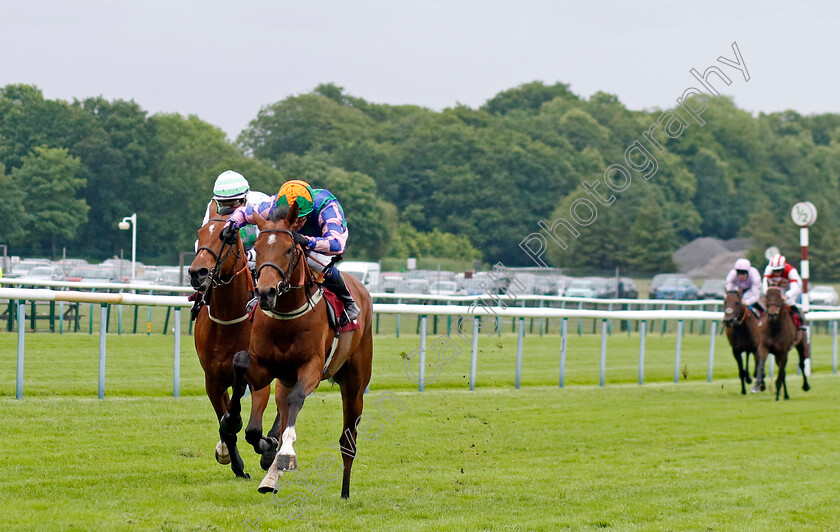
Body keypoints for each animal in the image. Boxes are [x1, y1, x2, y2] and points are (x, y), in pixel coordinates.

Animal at [189, 203, 278, 478]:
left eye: (226, 238)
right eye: (200, 233)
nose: (197, 273)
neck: (229, 320)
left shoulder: (259, 379)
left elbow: (252, 430)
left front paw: (267, 447)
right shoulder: (213, 380)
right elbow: (226, 423)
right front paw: (234, 461)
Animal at [221, 202, 372, 496]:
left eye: (289, 249)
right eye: (257, 247)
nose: (265, 293)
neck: (286, 317)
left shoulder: (312, 367)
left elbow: (297, 401)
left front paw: (285, 454)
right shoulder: (265, 367)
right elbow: (240, 361)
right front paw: (233, 421)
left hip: (355, 385)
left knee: (348, 439)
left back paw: (345, 492)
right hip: (285, 381)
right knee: (282, 407)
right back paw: (270, 478)